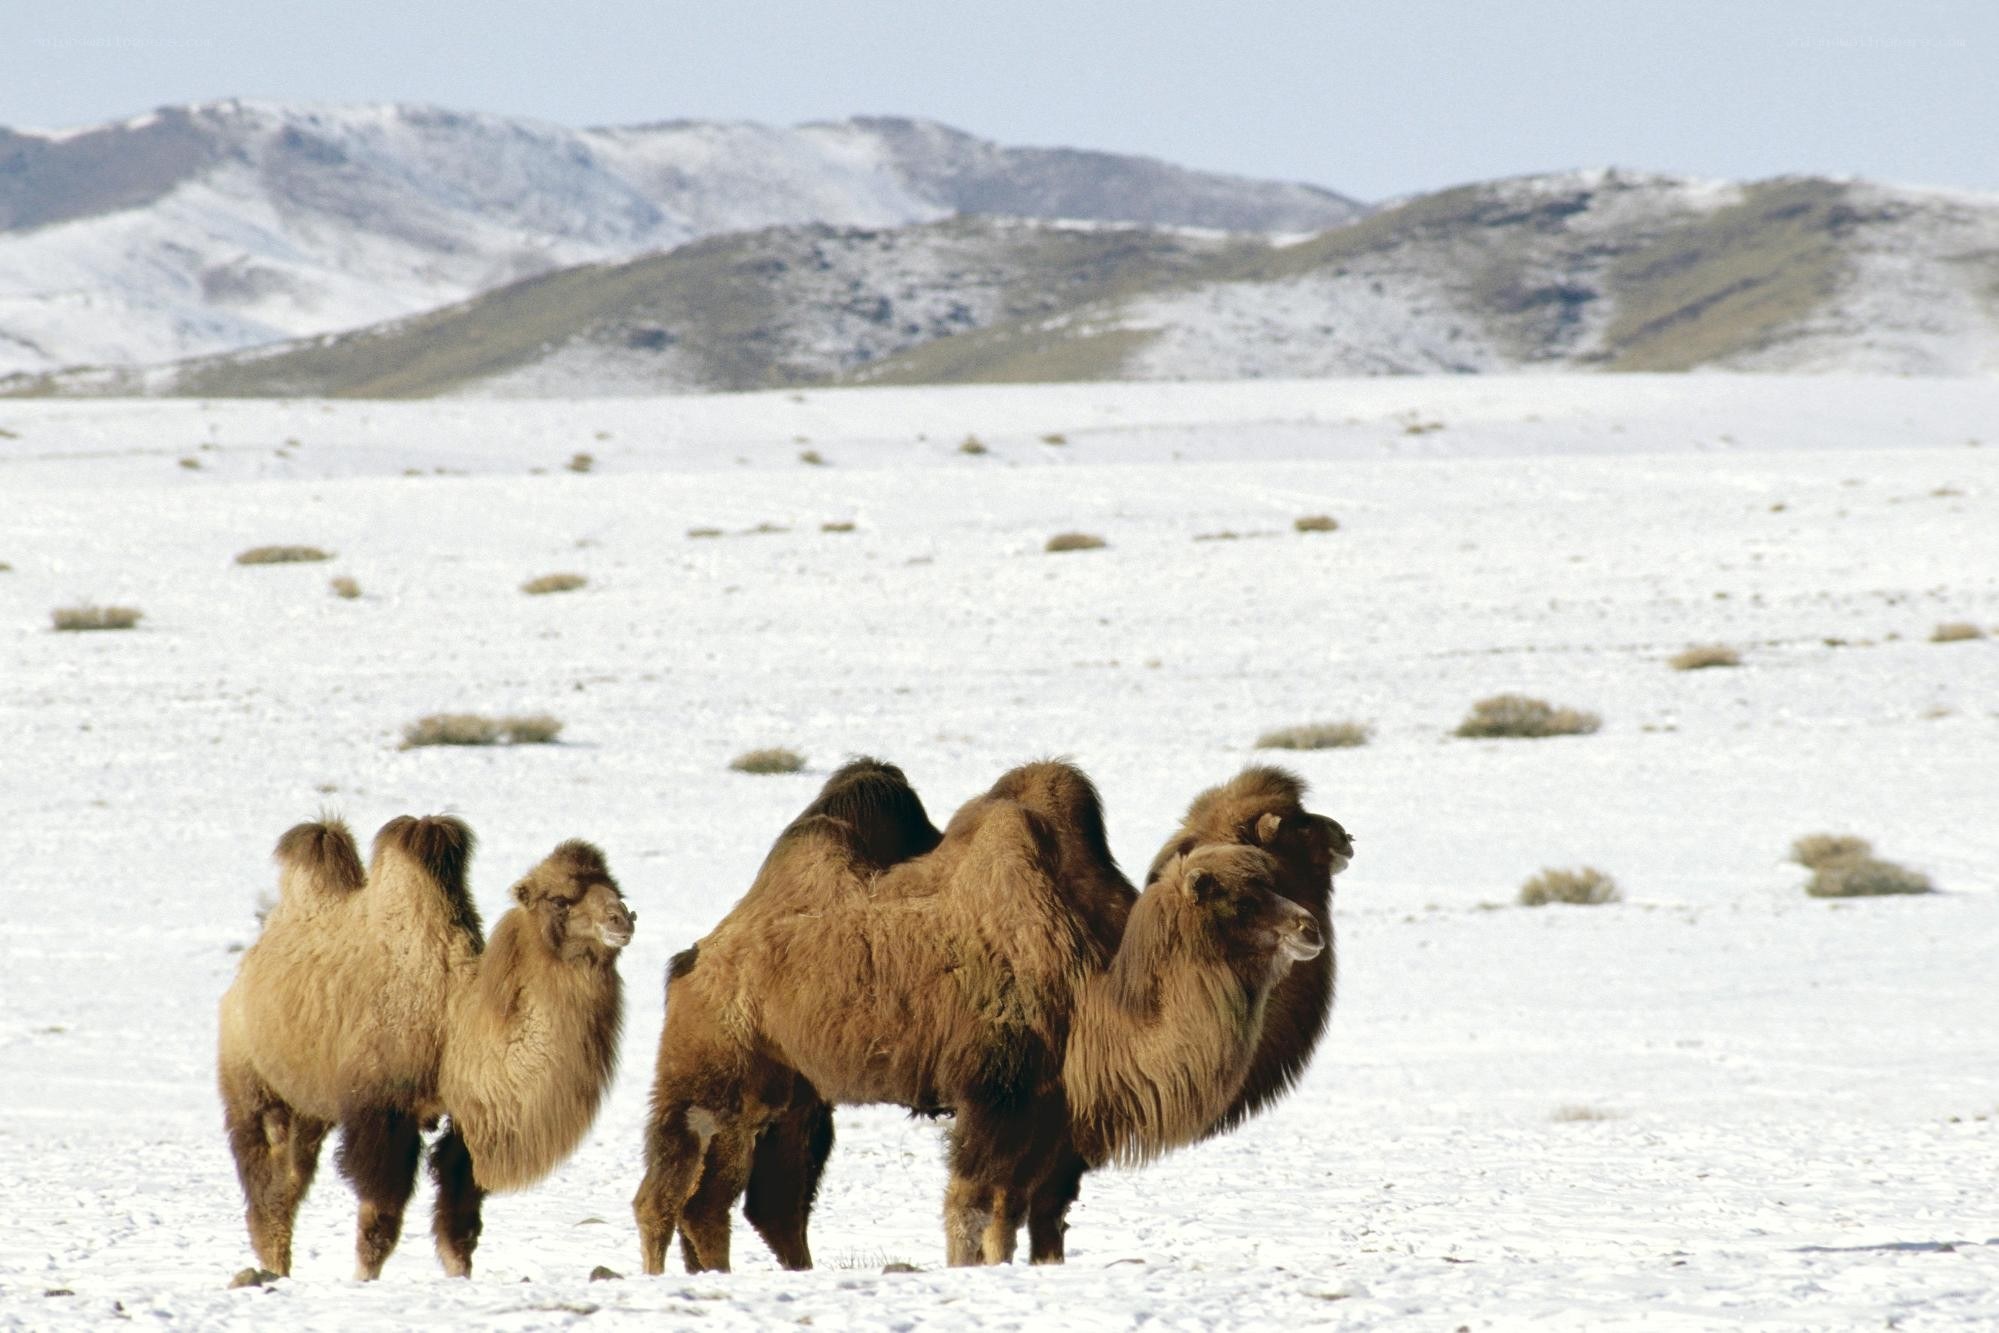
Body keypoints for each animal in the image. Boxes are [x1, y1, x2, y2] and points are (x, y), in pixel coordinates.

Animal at [217, 814, 633, 1280]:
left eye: (617, 890)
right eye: (560, 900)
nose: (621, 920)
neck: (452, 1022)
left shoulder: (468, 1120)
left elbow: (459, 1221)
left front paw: (459, 1279)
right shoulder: (382, 1112)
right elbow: (379, 1219)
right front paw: (364, 1281)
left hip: (310, 1103)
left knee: (289, 1177)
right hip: (250, 1078)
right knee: (266, 1176)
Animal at [632, 760, 1322, 1271]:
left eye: (1273, 879)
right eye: (1238, 895)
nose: (1308, 927)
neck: (1091, 995)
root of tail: (696, 957)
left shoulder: (1046, 1112)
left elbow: (1013, 1214)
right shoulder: (995, 1094)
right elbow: (971, 1206)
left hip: (787, 1094)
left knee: (742, 1203)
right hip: (709, 1066)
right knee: (666, 1194)